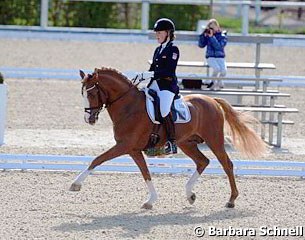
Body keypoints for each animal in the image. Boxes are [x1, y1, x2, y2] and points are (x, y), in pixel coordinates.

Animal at [69, 66, 264, 209]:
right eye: (82, 94)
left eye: (91, 94)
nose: (89, 119)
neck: (129, 107)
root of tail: (213, 100)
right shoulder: (133, 150)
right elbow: (145, 173)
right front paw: (150, 201)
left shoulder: (124, 146)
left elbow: (97, 159)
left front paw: (75, 184)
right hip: (187, 143)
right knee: (202, 162)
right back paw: (190, 195)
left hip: (214, 140)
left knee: (227, 164)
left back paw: (231, 200)